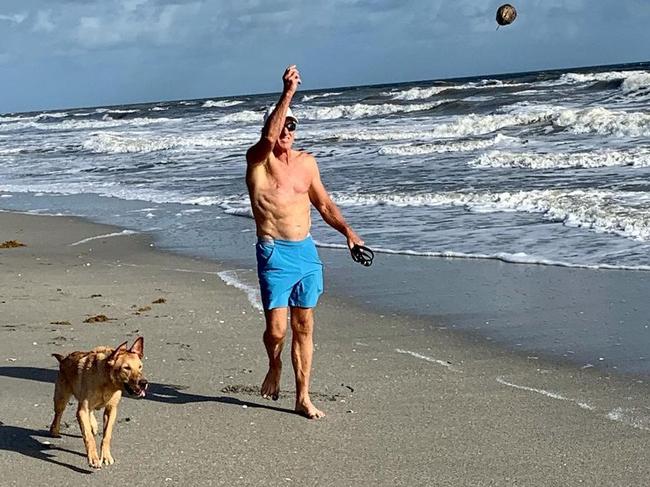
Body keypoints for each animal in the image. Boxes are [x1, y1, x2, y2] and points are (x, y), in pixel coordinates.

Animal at [49, 340, 148, 468]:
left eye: (140, 366)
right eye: (126, 368)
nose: (144, 383)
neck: (107, 382)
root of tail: (64, 359)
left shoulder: (111, 409)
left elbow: (106, 436)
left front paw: (106, 456)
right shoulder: (82, 410)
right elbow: (88, 437)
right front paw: (93, 458)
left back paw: (93, 425)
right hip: (61, 397)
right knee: (58, 413)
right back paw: (55, 430)